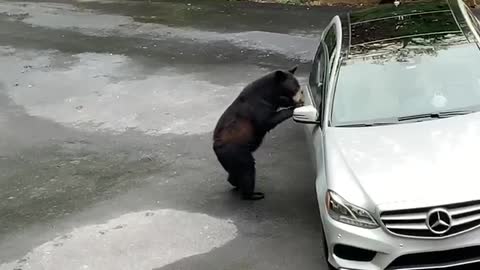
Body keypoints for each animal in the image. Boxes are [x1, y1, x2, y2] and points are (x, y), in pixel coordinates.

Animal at [214, 66, 304, 199]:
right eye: (296, 86)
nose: (301, 92)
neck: (268, 93)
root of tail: (215, 148)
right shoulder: (258, 105)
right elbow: (266, 121)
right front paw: (293, 108)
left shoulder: (274, 100)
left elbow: (280, 102)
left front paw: (291, 102)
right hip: (237, 151)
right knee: (247, 169)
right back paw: (252, 194)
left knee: (235, 171)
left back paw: (235, 183)